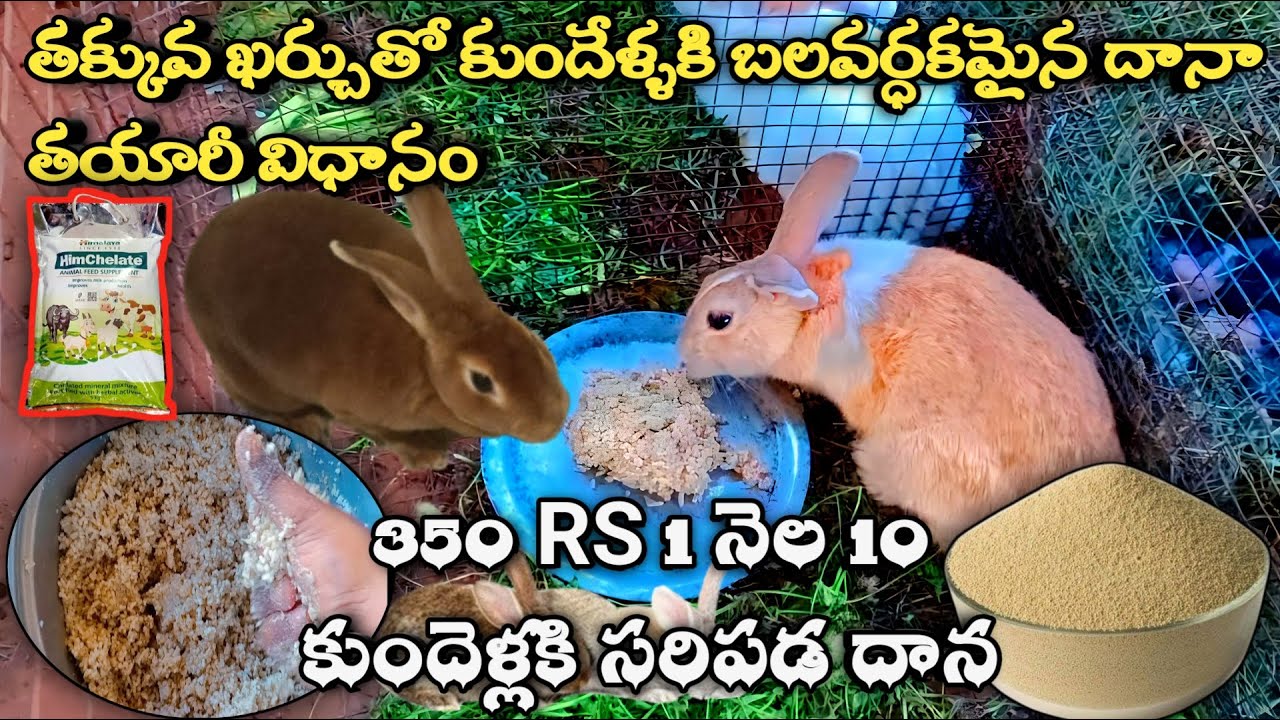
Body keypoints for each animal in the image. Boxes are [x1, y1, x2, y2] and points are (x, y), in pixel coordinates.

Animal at [185, 184, 570, 471]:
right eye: (482, 381)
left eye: (535, 345)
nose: (551, 422)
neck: (424, 360)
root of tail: (196, 256)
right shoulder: (354, 412)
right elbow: (388, 437)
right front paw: (429, 458)